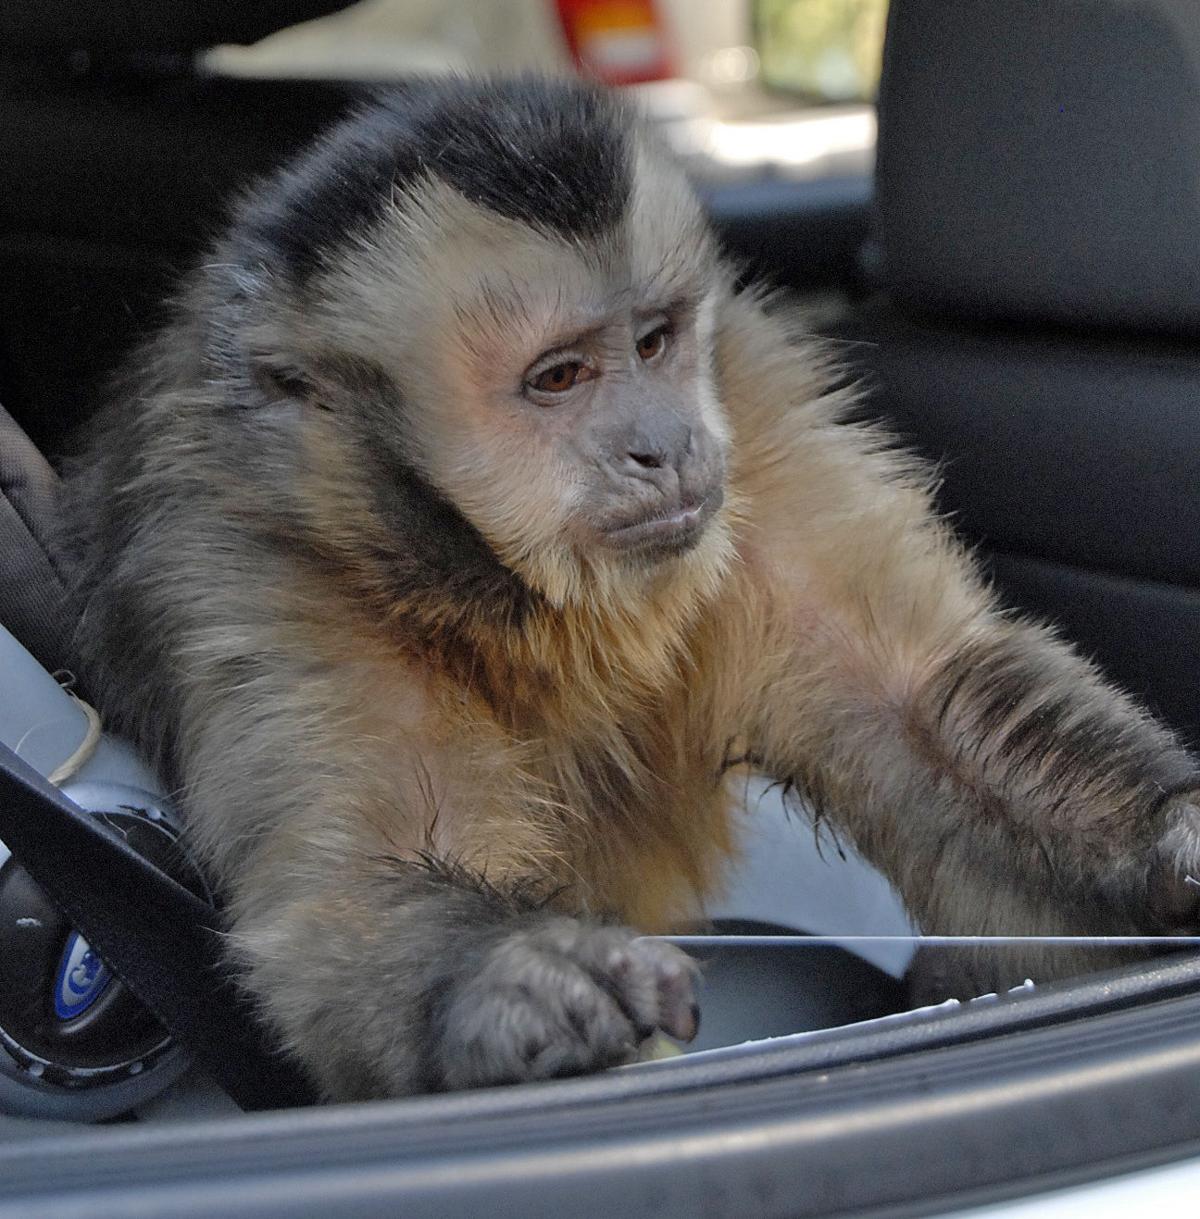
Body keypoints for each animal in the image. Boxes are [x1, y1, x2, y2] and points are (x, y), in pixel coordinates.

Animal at [63, 76, 1200, 1100]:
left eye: (653, 344)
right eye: (559, 377)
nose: (665, 445)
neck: (512, 599)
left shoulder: (752, 407)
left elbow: (917, 706)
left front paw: (1173, 837)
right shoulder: (251, 553)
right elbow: (359, 884)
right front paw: (514, 977)